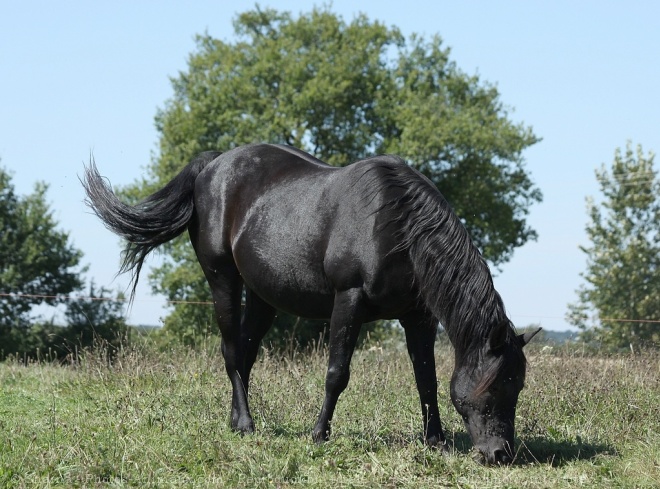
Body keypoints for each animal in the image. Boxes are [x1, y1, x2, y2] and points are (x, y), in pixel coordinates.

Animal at [82, 143, 536, 464]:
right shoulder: (349, 300)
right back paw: (246, 423)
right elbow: (337, 372)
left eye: (518, 386)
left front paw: (436, 441)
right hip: (222, 279)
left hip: (262, 296)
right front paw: (319, 434)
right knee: (231, 351)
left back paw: (235, 421)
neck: (396, 224)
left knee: (245, 354)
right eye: (496, 384)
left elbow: (427, 378)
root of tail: (212, 165)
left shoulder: (418, 317)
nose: (501, 454)